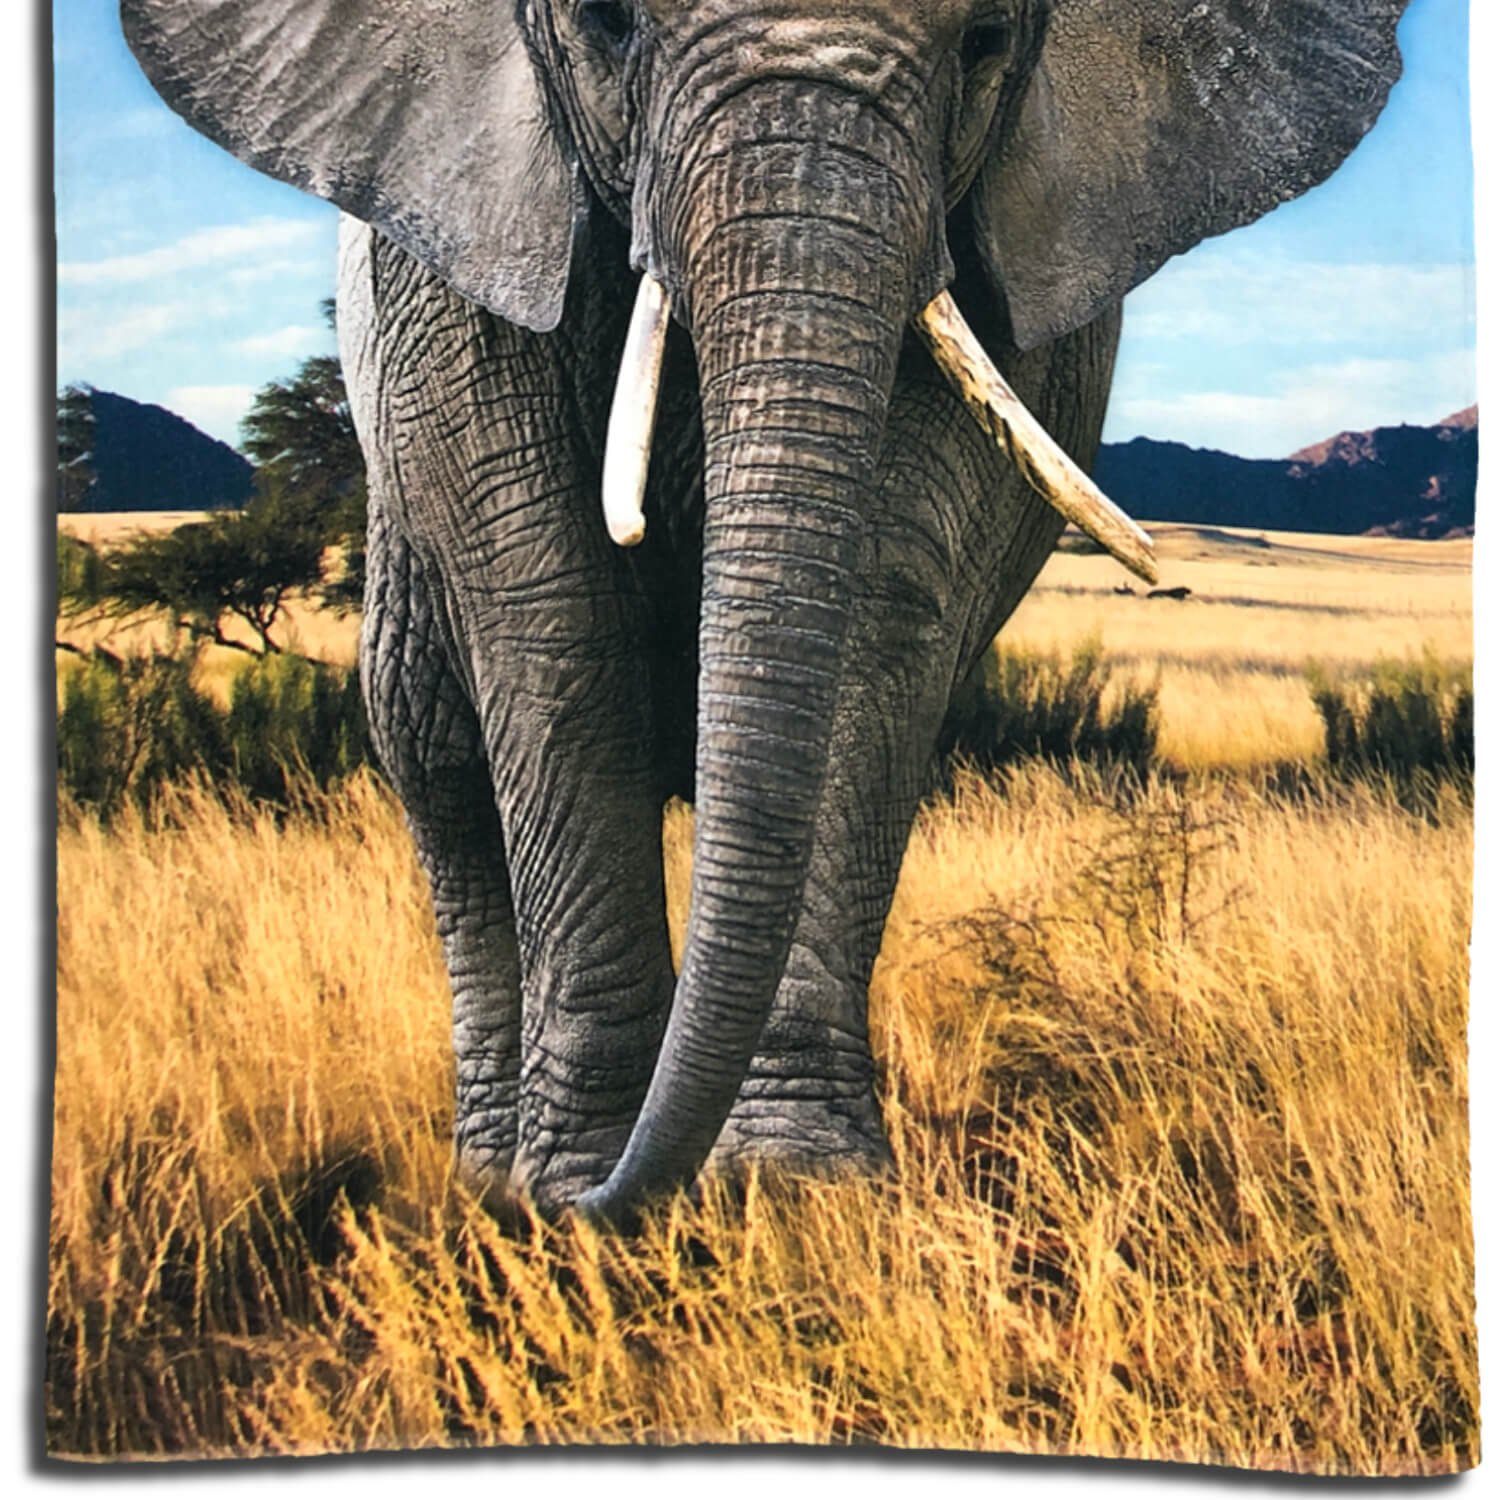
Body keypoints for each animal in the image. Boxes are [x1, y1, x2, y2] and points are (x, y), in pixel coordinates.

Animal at [121, 0, 1409, 1225]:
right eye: (607, 22)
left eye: (987, 40)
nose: (620, 1194)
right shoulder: (443, 262)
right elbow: (551, 610)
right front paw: (570, 1201)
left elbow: (881, 604)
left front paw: (792, 1190)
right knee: (433, 751)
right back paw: (490, 1175)